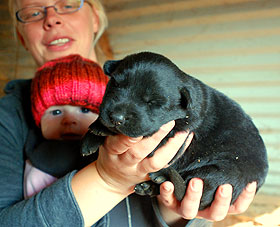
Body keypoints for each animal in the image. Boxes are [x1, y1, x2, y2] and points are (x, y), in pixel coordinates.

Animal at [80, 51, 266, 209]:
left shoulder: (176, 130)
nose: (117, 117)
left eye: (153, 102)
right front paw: (92, 134)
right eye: (115, 85)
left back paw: (160, 178)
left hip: (220, 172)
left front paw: (99, 129)